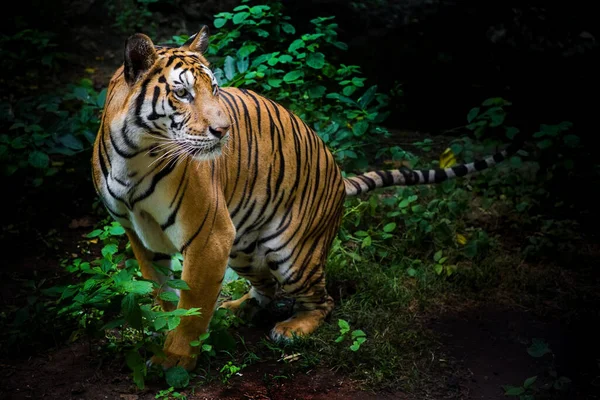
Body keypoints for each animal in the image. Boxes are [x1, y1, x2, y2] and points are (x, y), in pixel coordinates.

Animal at [90, 26, 520, 370]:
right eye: (181, 93)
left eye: (213, 88)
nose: (223, 130)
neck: (136, 155)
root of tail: (341, 177)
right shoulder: (140, 235)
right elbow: (162, 295)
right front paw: (160, 334)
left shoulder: (208, 234)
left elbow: (191, 307)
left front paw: (174, 360)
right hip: (241, 246)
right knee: (265, 288)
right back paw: (236, 308)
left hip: (291, 252)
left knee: (321, 301)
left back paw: (292, 329)